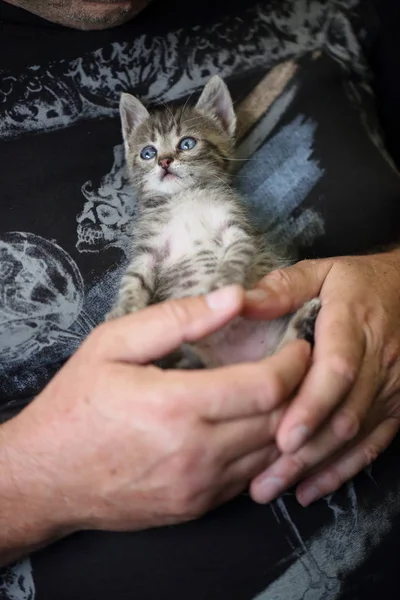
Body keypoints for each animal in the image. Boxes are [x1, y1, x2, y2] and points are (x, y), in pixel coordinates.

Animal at [105, 75, 318, 366]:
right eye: (148, 153)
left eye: (187, 144)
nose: (164, 162)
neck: (184, 197)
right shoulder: (149, 249)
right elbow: (133, 278)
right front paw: (125, 308)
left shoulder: (235, 226)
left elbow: (236, 253)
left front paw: (223, 280)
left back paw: (305, 319)